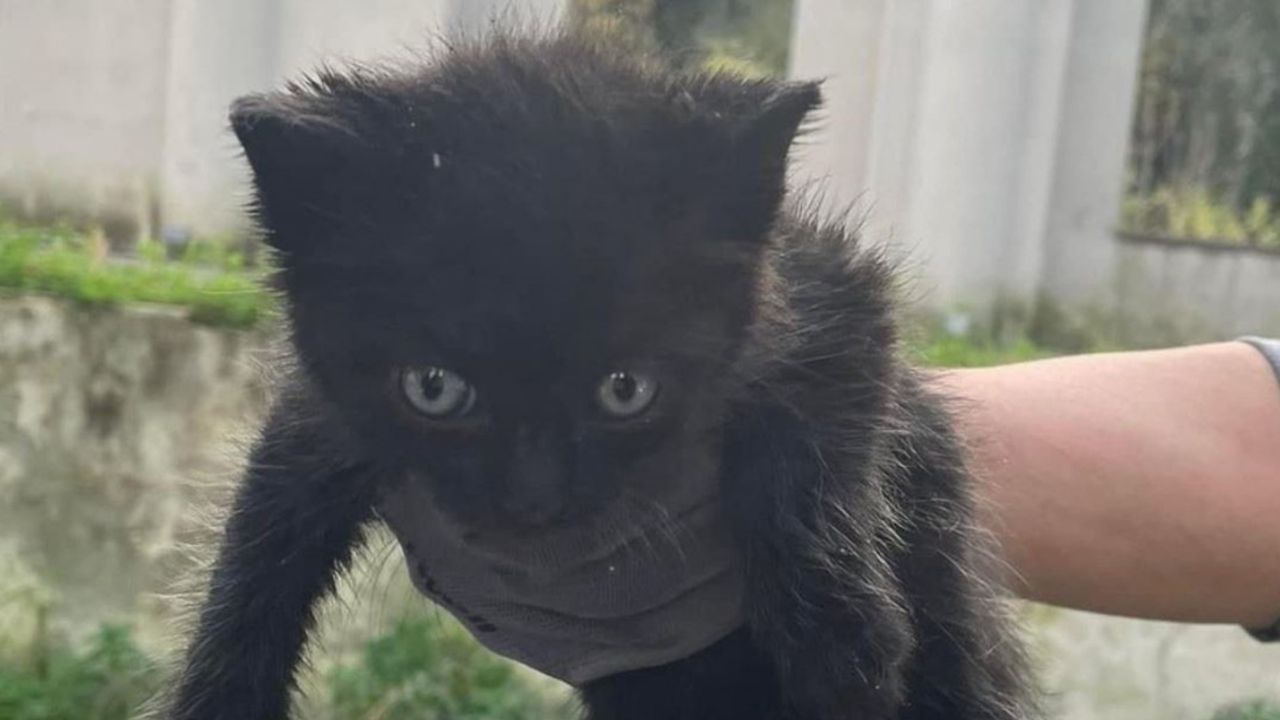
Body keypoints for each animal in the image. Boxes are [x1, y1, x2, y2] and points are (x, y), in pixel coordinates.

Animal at [165, 29, 1034, 717]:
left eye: (626, 390)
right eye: (433, 388)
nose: (534, 499)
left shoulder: (839, 287)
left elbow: (822, 440)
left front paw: (840, 637)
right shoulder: (321, 415)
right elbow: (257, 543)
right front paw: (219, 694)